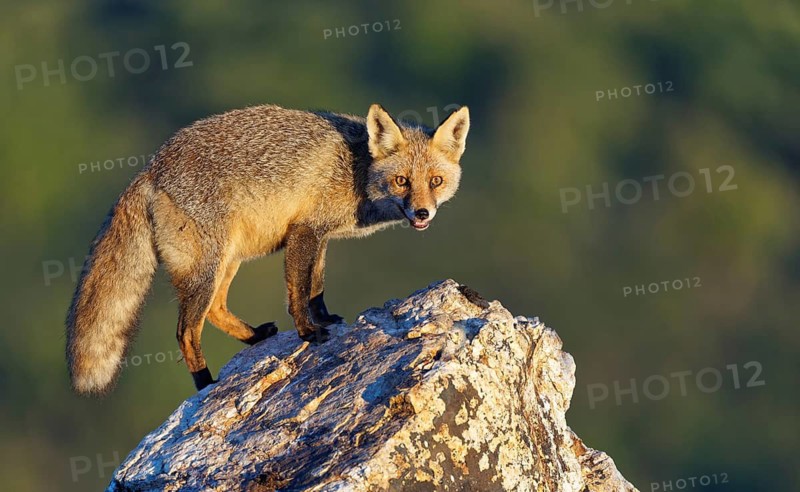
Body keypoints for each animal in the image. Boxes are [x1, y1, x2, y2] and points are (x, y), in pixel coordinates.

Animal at [66, 103, 470, 395]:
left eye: (435, 181)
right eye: (402, 181)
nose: (422, 213)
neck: (355, 169)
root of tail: (152, 167)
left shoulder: (320, 234)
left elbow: (316, 288)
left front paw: (325, 320)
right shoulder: (303, 231)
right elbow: (298, 293)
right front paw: (308, 333)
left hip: (228, 261)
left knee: (216, 309)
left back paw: (255, 337)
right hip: (208, 268)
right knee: (185, 331)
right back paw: (205, 383)